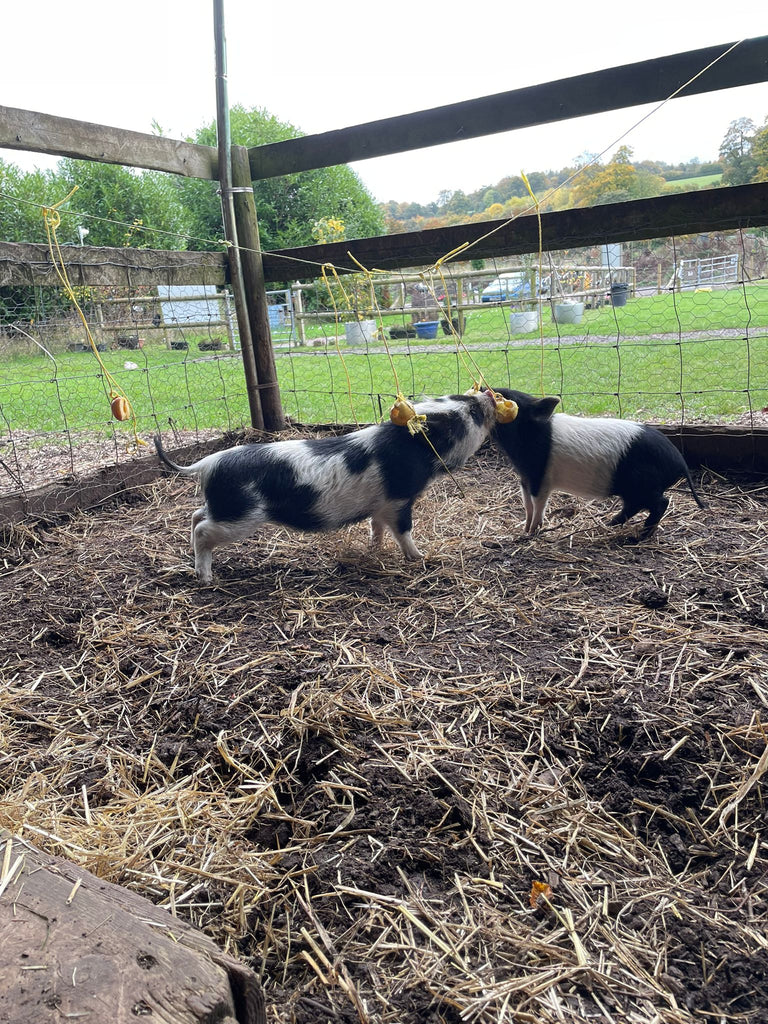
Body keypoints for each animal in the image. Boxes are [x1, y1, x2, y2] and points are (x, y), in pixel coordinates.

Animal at [154, 389, 499, 585]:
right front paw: (420, 557)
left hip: (222, 506)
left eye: (461, 399)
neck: (412, 449)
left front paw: (375, 549)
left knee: (196, 516)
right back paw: (205, 579)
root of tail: (207, 463)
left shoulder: (380, 504)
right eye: (471, 413)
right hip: (240, 516)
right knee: (203, 530)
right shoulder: (399, 500)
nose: (489, 395)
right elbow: (403, 530)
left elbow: (376, 527)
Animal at [489, 387, 708, 540]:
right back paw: (610, 524)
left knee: (661, 503)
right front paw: (525, 529)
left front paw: (533, 531)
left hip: (644, 485)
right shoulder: (524, 477)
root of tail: (680, 461)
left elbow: (538, 503)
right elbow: (526, 503)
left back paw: (638, 536)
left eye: (505, 397)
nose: (485, 388)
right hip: (636, 490)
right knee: (633, 507)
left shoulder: (541, 478)